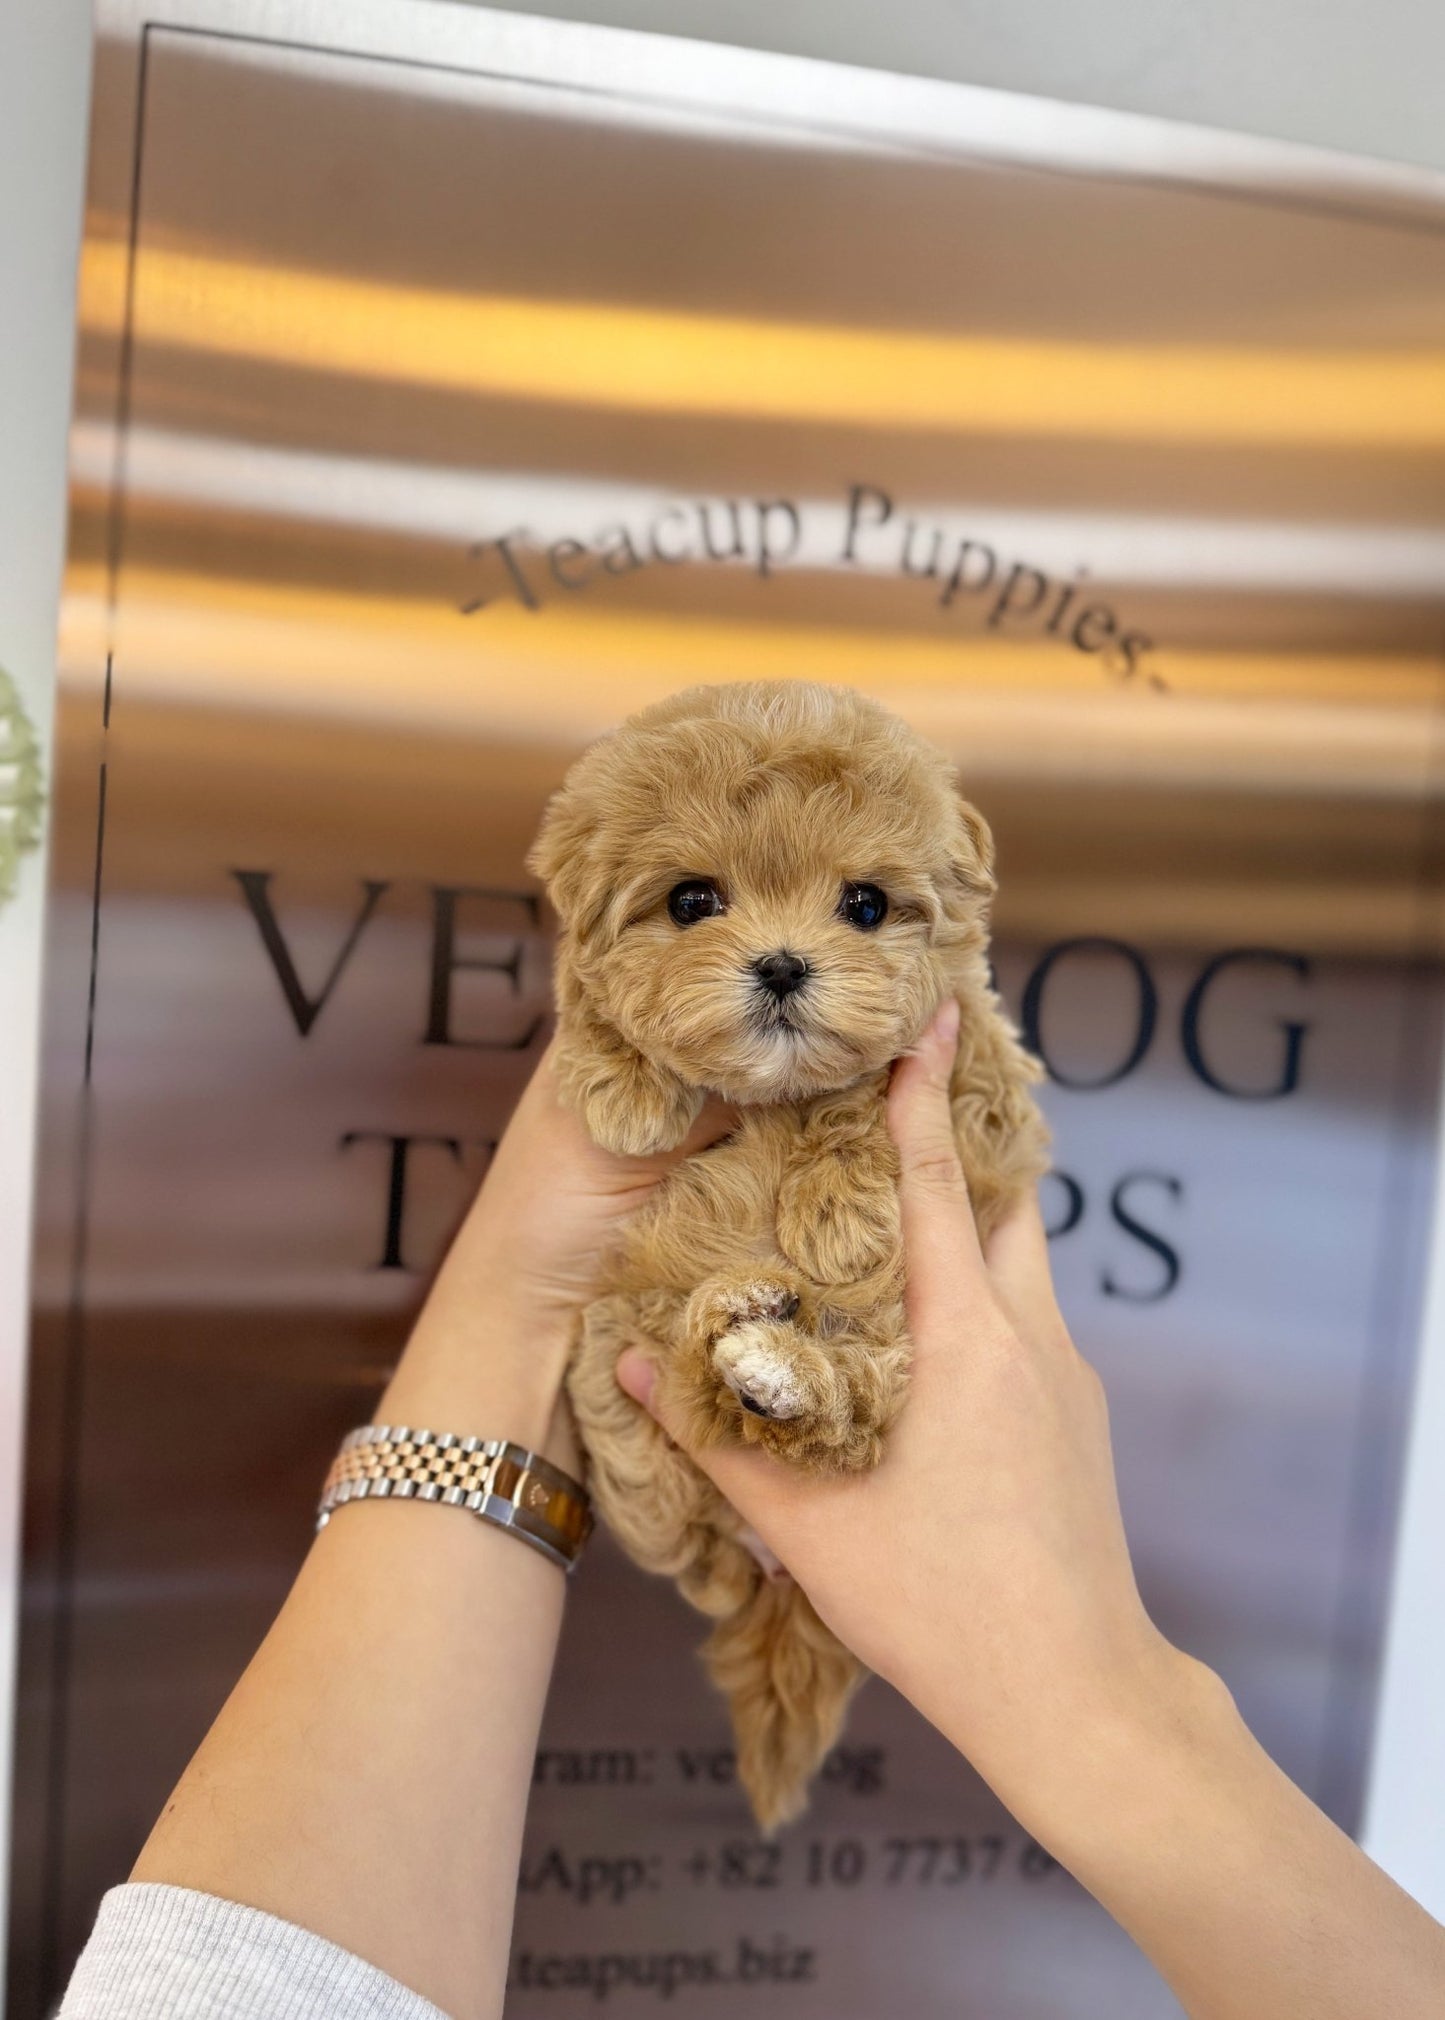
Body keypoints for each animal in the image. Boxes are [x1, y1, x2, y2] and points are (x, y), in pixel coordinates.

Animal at [529, 682, 1050, 1834]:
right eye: (690, 901)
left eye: (863, 905)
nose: (778, 964)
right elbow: (588, 995)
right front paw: (623, 1083)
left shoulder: (971, 1077)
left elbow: (854, 1090)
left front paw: (836, 1212)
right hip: (620, 1338)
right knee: (654, 1483)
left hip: (888, 1357)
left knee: (845, 1420)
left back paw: (778, 1371)